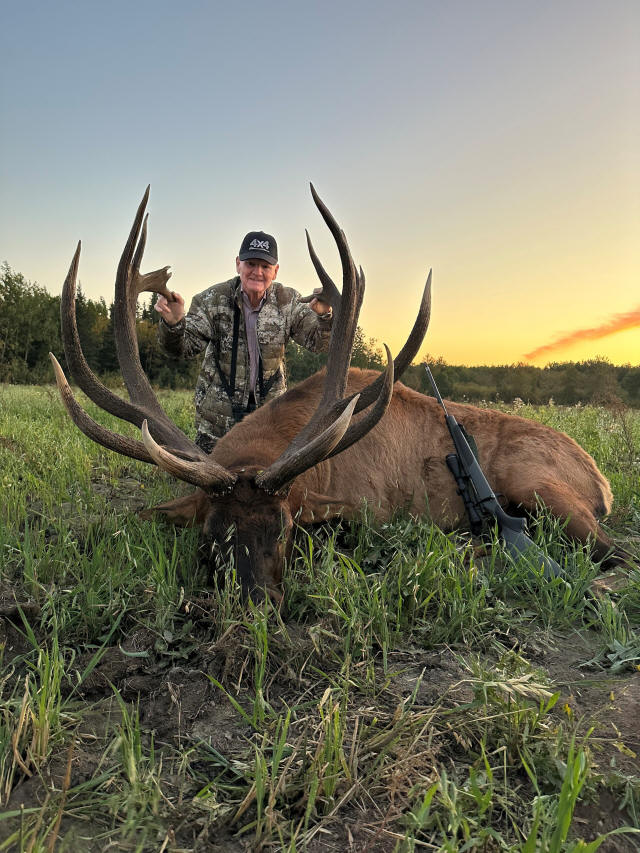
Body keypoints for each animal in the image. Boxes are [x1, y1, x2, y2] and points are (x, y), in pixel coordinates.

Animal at [50, 187, 627, 600]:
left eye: (283, 529)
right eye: (211, 535)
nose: (254, 608)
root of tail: (601, 480)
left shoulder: (365, 509)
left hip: (544, 488)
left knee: (614, 554)